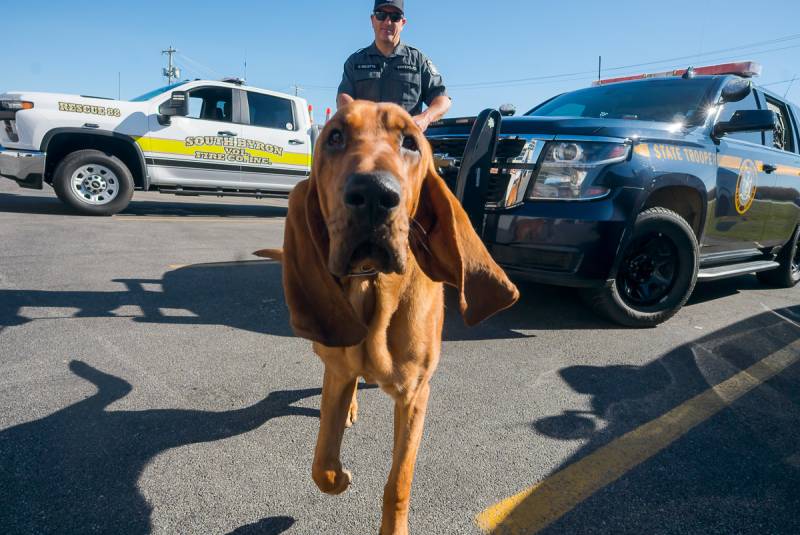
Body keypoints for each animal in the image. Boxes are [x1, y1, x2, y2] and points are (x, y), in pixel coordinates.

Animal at [258, 101, 520, 535]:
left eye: (410, 142)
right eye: (334, 137)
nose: (374, 194)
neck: (372, 284)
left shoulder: (415, 395)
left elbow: (399, 481)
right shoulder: (339, 371)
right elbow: (321, 464)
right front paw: (340, 476)